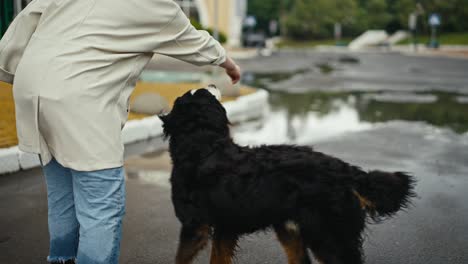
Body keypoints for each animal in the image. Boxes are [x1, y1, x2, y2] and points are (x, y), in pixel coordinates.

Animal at [159, 87, 414, 262]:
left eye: (203, 92)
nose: (213, 82)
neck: (203, 147)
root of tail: (347, 171)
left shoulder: (194, 226)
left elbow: (180, 259)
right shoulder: (225, 229)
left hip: (328, 237)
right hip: (293, 230)